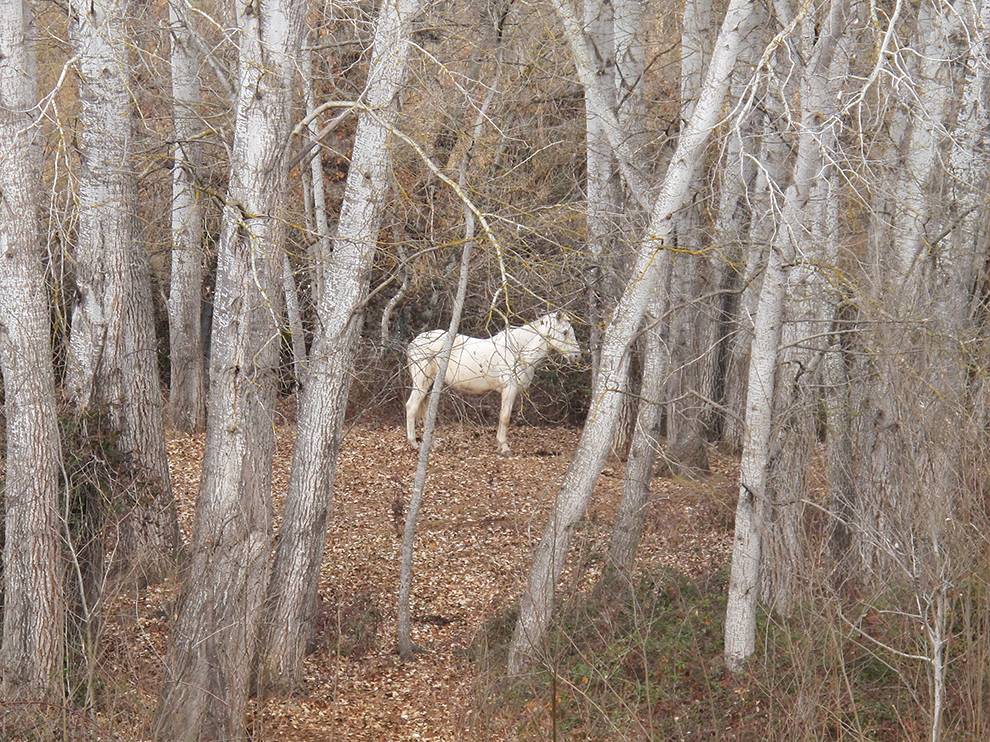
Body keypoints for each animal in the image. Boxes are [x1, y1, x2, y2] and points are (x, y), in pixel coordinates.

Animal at [405, 312, 581, 455]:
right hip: (422, 382)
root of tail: (414, 343)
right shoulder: (509, 389)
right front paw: (504, 447)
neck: (518, 351)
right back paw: (414, 444)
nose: (577, 356)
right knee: (411, 407)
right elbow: (505, 417)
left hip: (429, 384)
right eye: (565, 332)